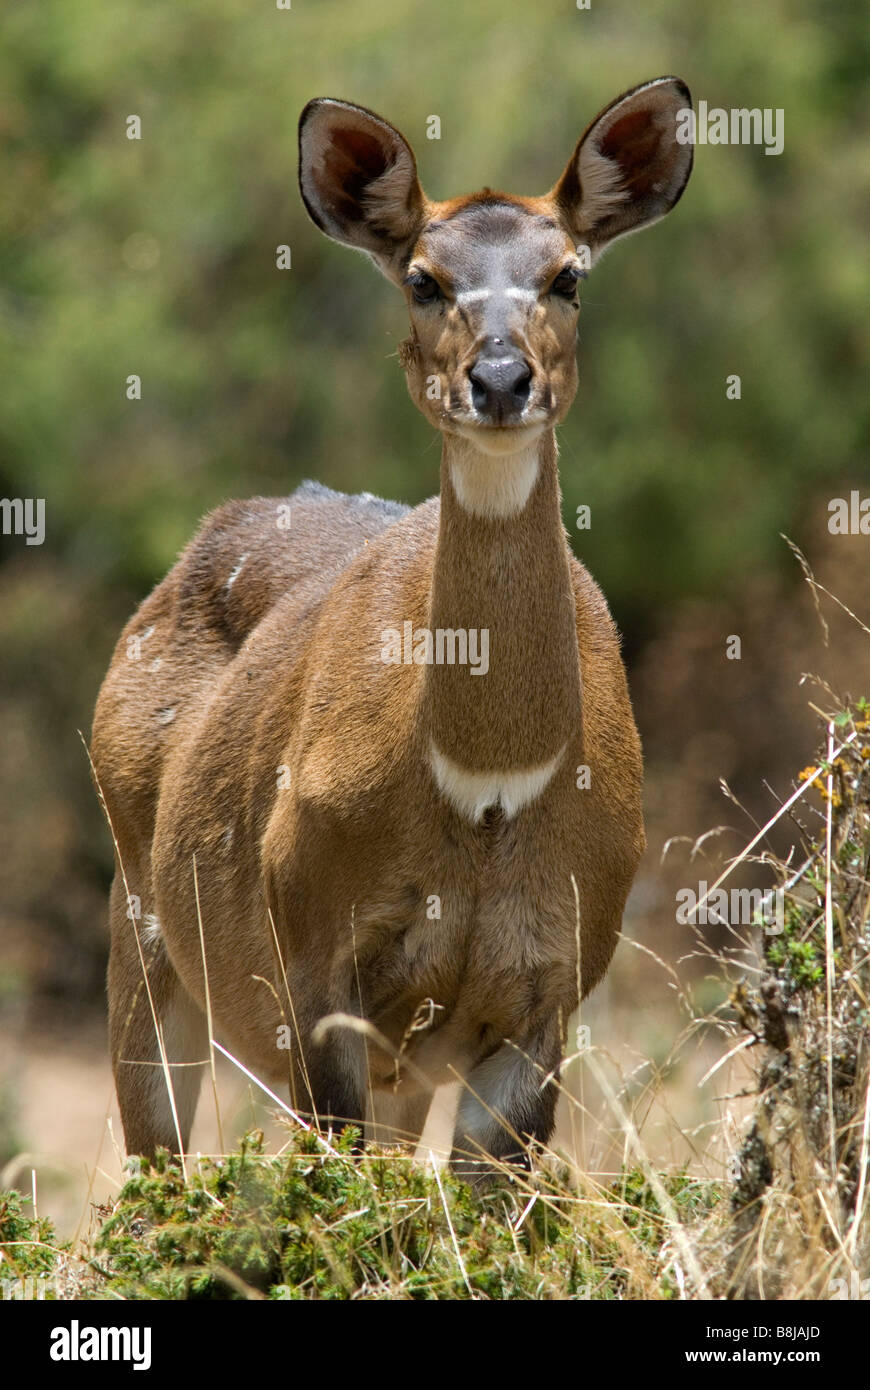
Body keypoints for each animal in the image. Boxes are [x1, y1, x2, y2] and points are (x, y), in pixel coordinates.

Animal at [89, 76, 692, 1178]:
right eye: (422, 276)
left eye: (568, 277)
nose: (499, 381)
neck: (488, 787)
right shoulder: (322, 983)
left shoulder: (540, 1007)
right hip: (144, 943)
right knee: (156, 1170)